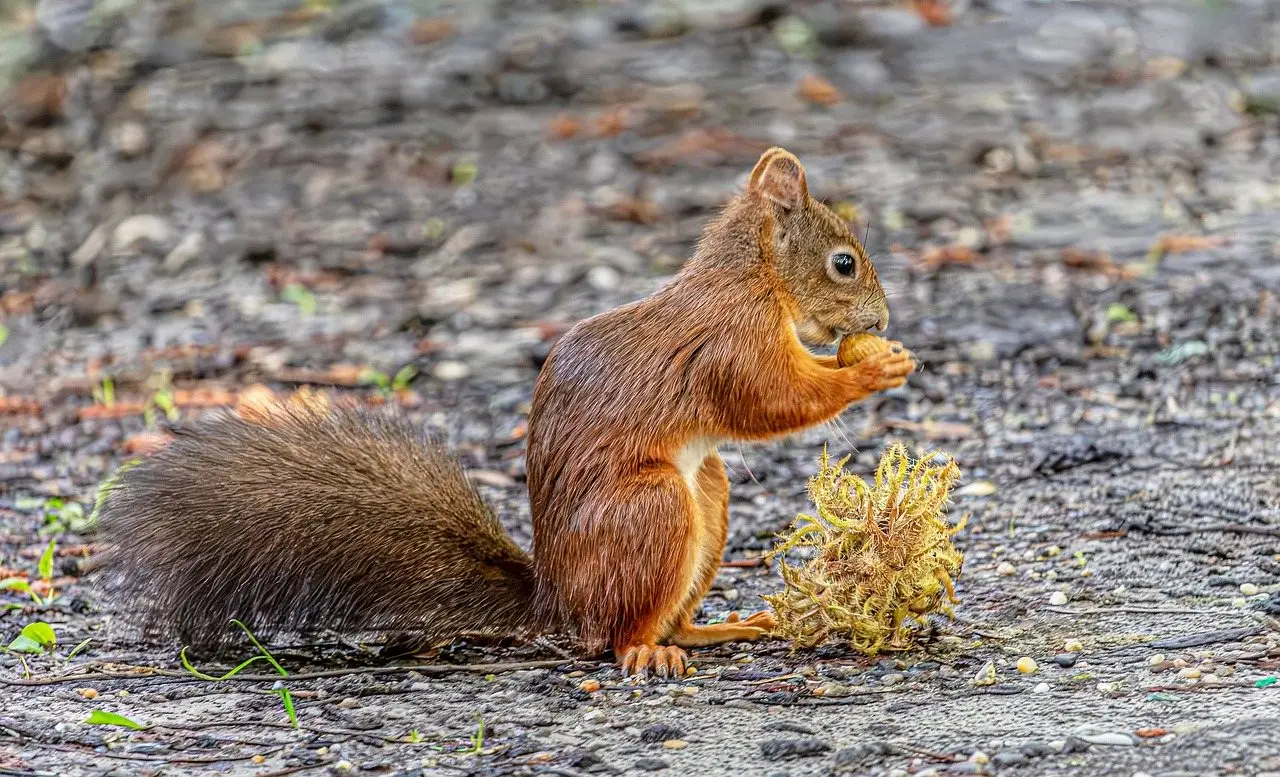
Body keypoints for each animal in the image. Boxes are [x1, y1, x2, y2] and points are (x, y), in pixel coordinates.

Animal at [95, 147, 915, 678]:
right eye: (844, 262)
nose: (879, 318)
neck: (754, 278)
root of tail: (558, 604)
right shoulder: (730, 343)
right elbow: (773, 397)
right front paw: (876, 365)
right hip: (650, 507)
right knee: (615, 635)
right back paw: (647, 649)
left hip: (705, 495)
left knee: (669, 609)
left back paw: (723, 625)